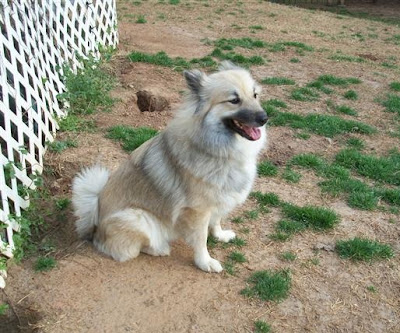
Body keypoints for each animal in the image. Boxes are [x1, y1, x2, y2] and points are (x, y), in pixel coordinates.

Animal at [72, 61, 268, 272]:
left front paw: (220, 235)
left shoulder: (219, 198)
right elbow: (201, 239)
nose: (264, 117)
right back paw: (158, 249)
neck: (216, 148)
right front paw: (205, 262)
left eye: (255, 95)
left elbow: (216, 221)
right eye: (234, 100)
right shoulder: (198, 210)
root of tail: (95, 222)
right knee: (131, 249)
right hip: (139, 218)